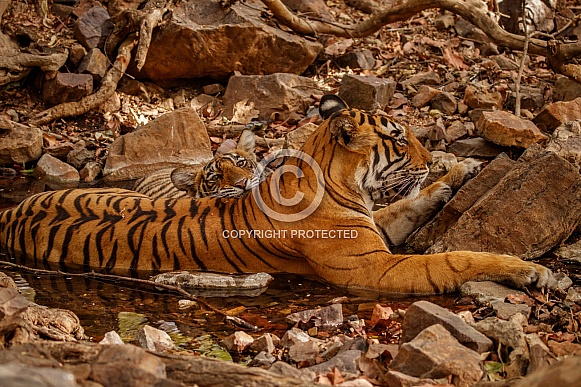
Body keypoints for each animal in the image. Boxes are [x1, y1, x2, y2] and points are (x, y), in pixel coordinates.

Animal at [0, 95, 556, 292]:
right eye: (400, 139)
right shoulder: (374, 268)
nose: (425, 156)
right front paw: (527, 270)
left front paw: (460, 167)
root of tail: (9, 213)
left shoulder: (377, 227)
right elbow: (457, 259)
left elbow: (411, 201)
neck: (341, 184)